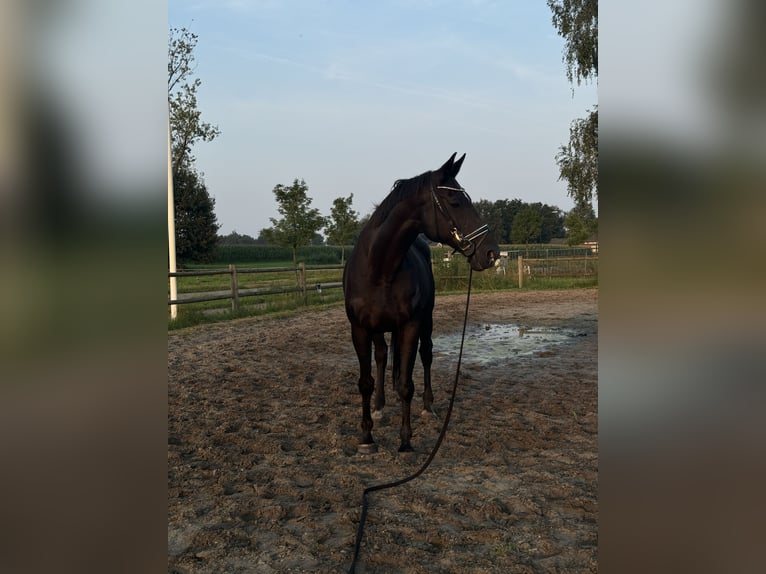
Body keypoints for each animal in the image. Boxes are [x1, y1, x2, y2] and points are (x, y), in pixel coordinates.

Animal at [343, 153, 500, 452]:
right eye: (455, 201)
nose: (491, 253)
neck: (379, 269)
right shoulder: (360, 329)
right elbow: (366, 382)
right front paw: (367, 437)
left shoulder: (411, 326)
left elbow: (406, 384)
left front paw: (405, 440)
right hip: (379, 329)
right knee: (382, 356)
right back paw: (380, 407)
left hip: (426, 321)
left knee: (426, 355)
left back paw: (428, 407)